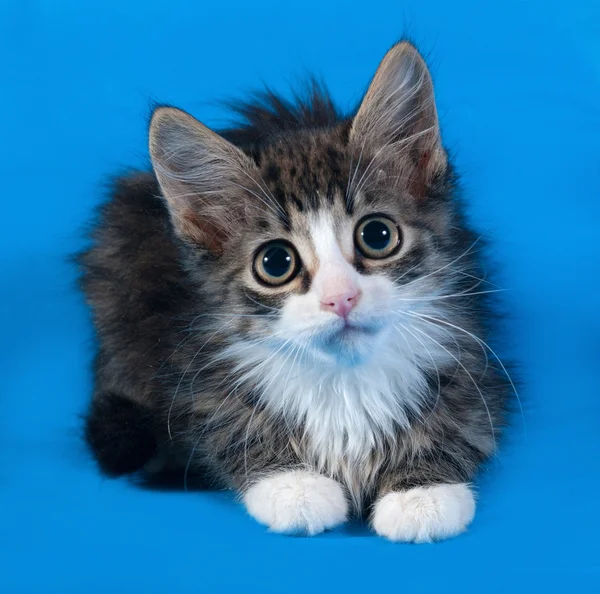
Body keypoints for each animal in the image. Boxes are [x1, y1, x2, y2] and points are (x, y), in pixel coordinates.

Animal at [78, 41, 510, 540]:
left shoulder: (472, 352)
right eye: (275, 263)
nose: (341, 298)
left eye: (377, 235)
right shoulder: (189, 362)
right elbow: (222, 423)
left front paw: (421, 492)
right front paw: (295, 486)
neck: (344, 383)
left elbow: (463, 418)